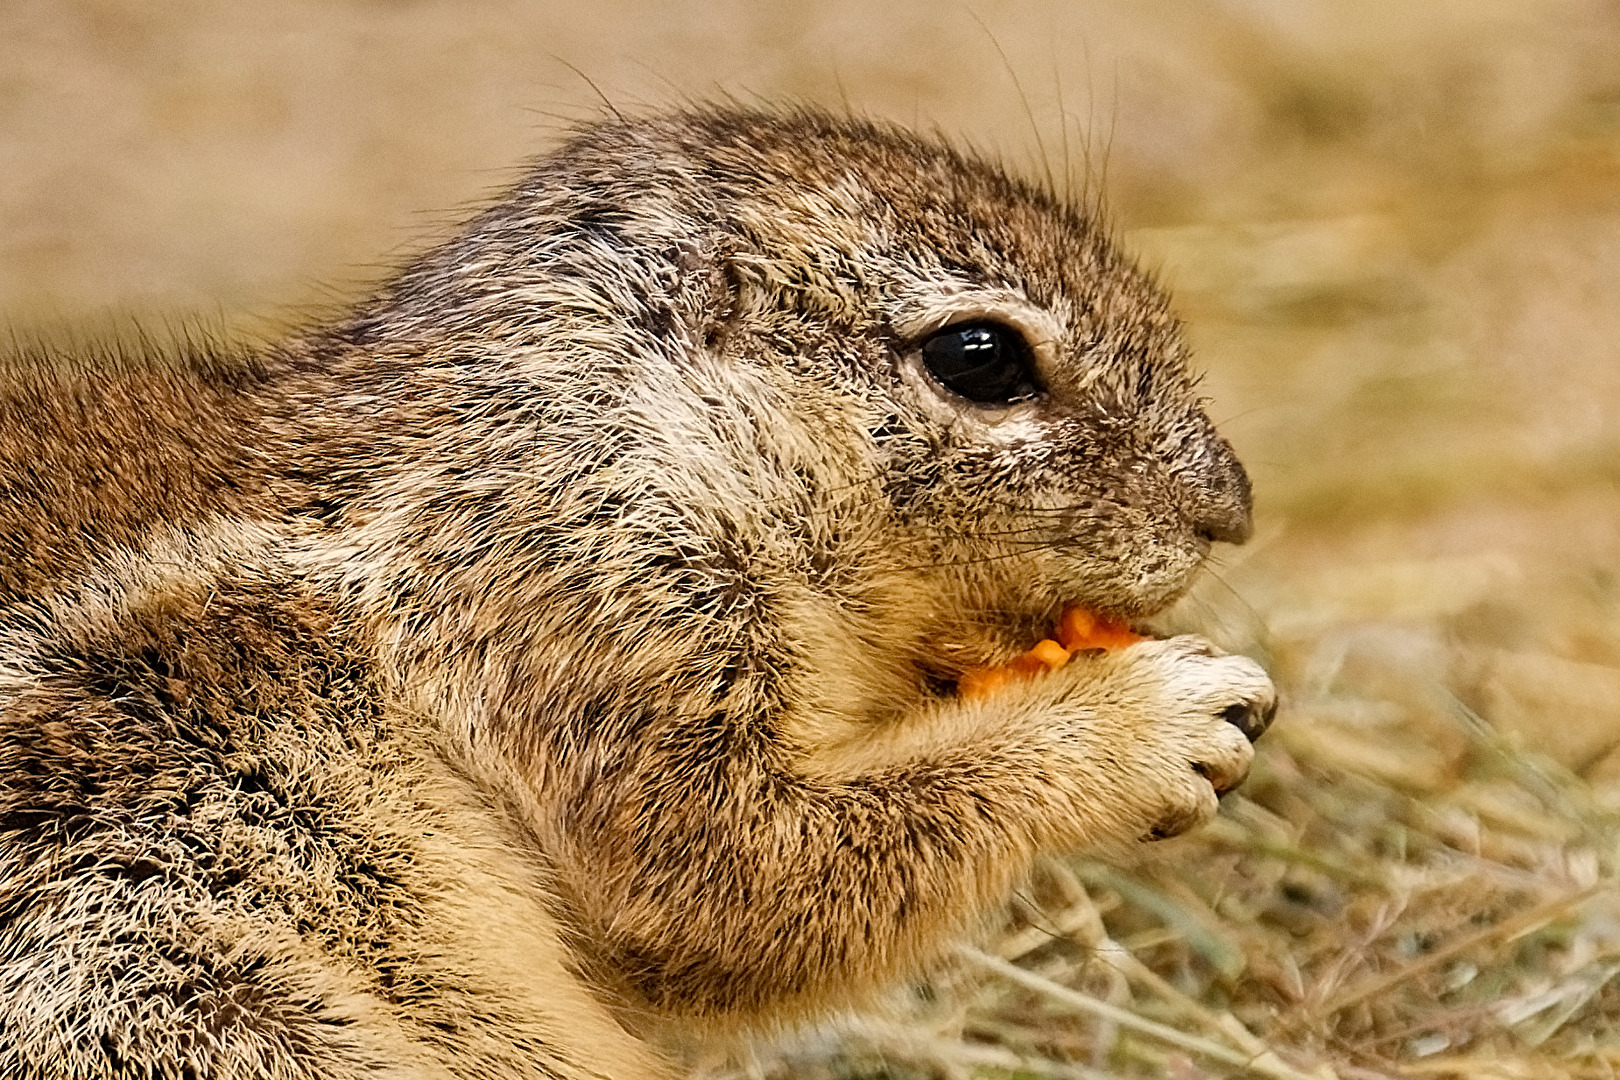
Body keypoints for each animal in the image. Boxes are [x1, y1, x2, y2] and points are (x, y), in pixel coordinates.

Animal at [0, 103, 1270, 1080]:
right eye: (981, 358)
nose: (1232, 510)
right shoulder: (584, 609)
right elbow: (734, 879)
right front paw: (1155, 721)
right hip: (177, 997)